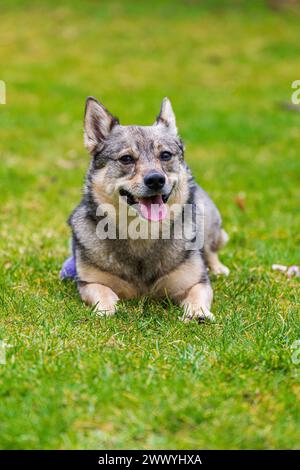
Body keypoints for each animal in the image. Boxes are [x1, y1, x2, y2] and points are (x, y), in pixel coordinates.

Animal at [62, 97, 229, 322]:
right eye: (126, 159)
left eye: (165, 155)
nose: (156, 180)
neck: (141, 233)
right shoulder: (90, 282)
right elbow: (103, 292)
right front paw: (105, 309)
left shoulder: (195, 282)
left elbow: (197, 294)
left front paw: (198, 312)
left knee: (211, 250)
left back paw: (218, 268)